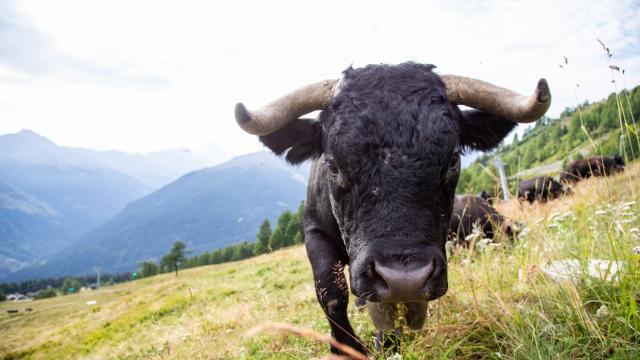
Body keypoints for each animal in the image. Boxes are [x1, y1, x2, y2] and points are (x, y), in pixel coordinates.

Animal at [235, 62, 552, 354]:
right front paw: (346, 348)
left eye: (452, 160)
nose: (404, 279)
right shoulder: (314, 232)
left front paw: (387, 341)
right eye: (333, 165)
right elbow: (331, 292)